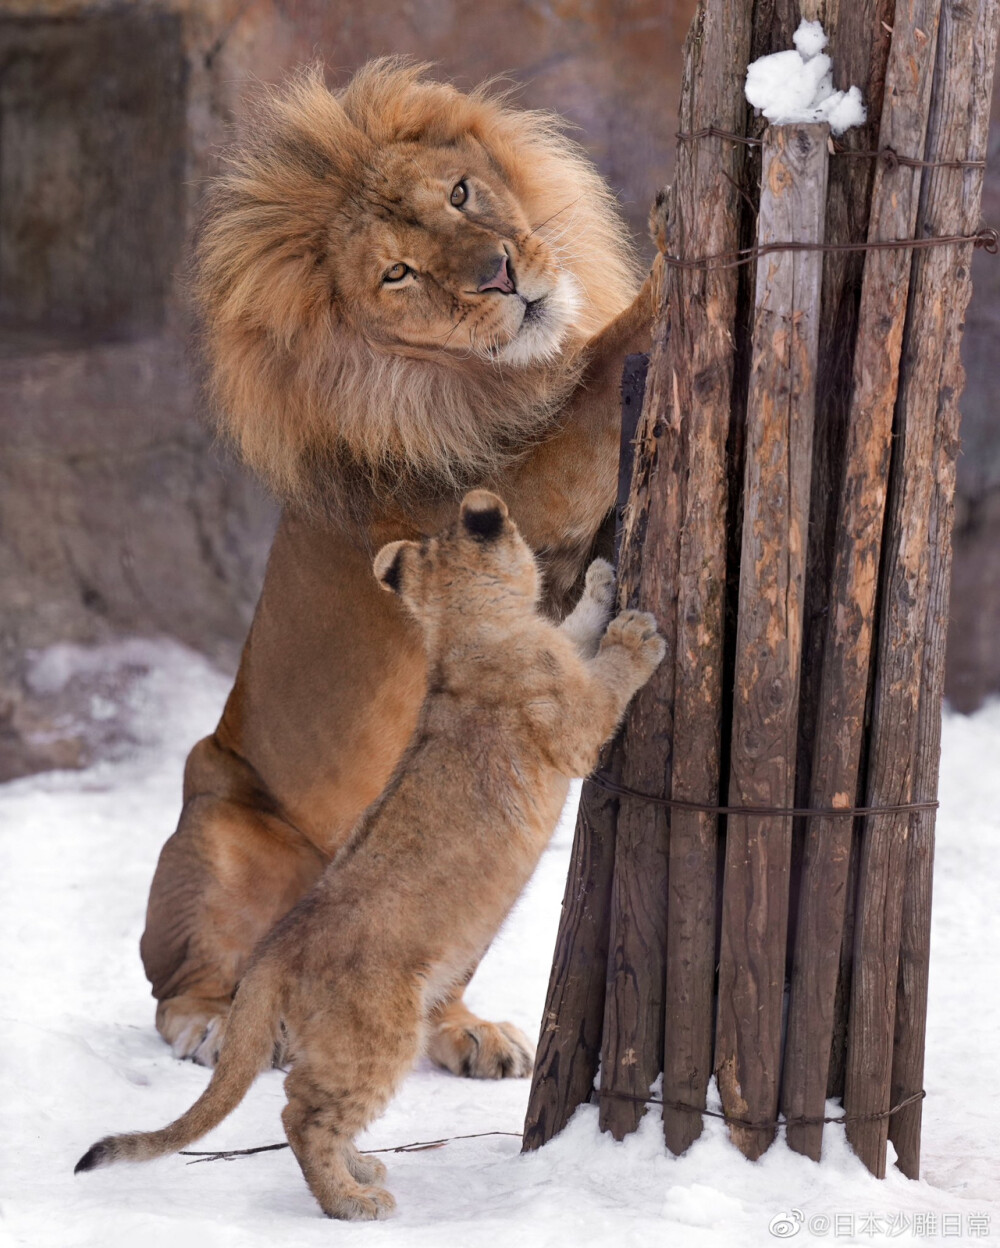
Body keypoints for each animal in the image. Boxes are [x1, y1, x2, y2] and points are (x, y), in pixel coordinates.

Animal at [142, 60, 654, 1073]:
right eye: (397, 274)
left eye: (458, 194)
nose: (500, 274)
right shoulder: (512, 486)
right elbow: (611, 353)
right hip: (219, 826)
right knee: (179, 982)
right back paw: (211, 1022)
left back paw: (466, 1033)